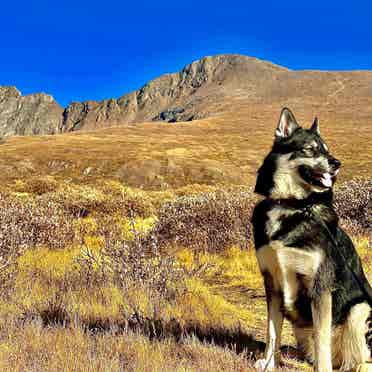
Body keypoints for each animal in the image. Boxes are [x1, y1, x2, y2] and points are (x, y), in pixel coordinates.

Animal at [251, 106, 372, 370]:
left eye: (327, 149)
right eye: (310, 149)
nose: (337, 163)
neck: (292, 206)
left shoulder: (320, 287)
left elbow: (321, 337)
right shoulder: (272, 283)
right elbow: (272, 332)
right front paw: (269, 363)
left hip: (360, 309)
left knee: (361, 358)